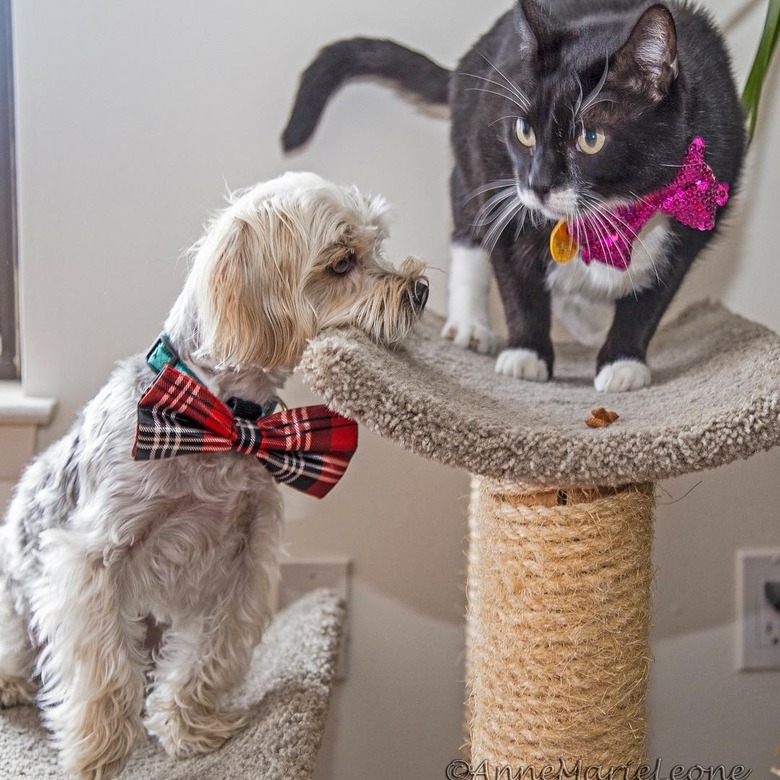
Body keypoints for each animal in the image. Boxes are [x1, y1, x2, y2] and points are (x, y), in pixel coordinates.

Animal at [0, 172, 426, 780]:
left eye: (377, 246)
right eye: (343, 262)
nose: (421, 289)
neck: (225, 418)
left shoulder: (243, 559)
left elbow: (210, 655)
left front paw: (188, 729)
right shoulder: (91, 560)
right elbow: (103, 670)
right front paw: (99, 754)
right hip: (19, 585)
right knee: (17, 640)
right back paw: (11, 682)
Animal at [280, 0, 744, 390]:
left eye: (590, 138)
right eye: (524, 131)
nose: (538, 184)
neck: (615, 211)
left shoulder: (707, 191)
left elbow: (653, 296)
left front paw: (623, 363)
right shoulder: (499, 178)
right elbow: (514, 273)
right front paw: (526, 355)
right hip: (472, 157)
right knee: (469, 231)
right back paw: (471, 324)